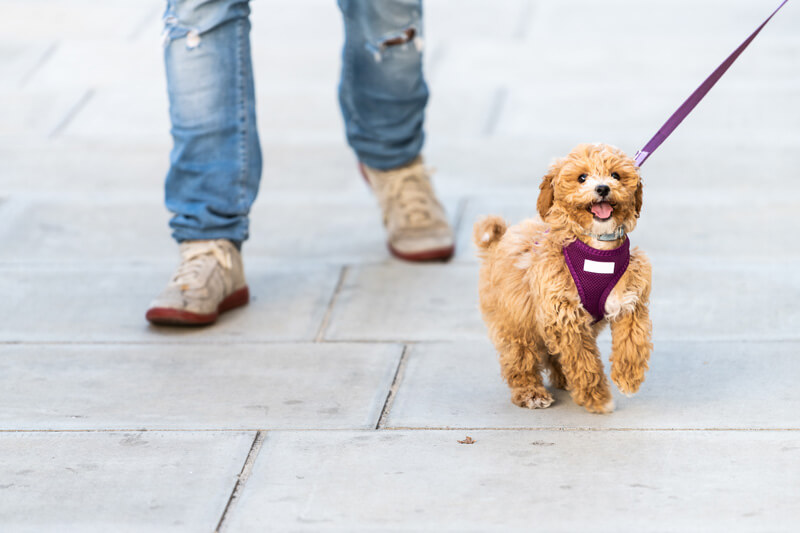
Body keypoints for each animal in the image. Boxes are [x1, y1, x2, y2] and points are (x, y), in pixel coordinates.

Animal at [476, 143, 648, 414]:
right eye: (582, 178)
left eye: (616, 175)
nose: (603, 188)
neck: (597, 249)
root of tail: (497, 243)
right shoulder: (563, 313)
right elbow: (583, 360)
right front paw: (597, 398)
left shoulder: (629, 299)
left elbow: (633, 340)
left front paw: (628, 377)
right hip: (516, 320)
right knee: (520, 359)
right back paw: (531, 392)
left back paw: (563, 380)